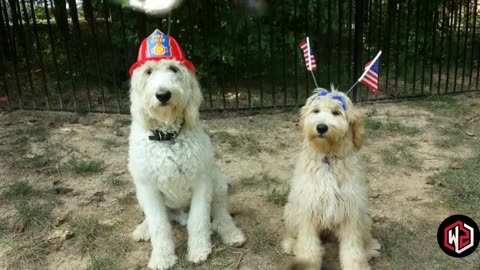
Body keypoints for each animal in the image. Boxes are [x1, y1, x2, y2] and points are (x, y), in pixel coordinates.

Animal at [128, 58, 244, 268]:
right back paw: (143, 229)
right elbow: (159, 225)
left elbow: (199, 220)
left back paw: (231, 233)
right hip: (141, 194)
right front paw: (162, 257)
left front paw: (199, 250)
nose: (163, 95)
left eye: (173, 69)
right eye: (148, 71)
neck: (168, 137)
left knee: (221, 213)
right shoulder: (148, 188)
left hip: (218, 181)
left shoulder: (202, 183)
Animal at [284, 88, 380, 270]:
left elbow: (353, 248)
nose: (321, 127)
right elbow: (308, 246)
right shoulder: (308, 210)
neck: (327, 158)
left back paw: (370, 247)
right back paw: (292, 245)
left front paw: (357, 265)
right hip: (292, 210)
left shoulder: (351, 212)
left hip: (363, 217)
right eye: (316, 111)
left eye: (336, 113)